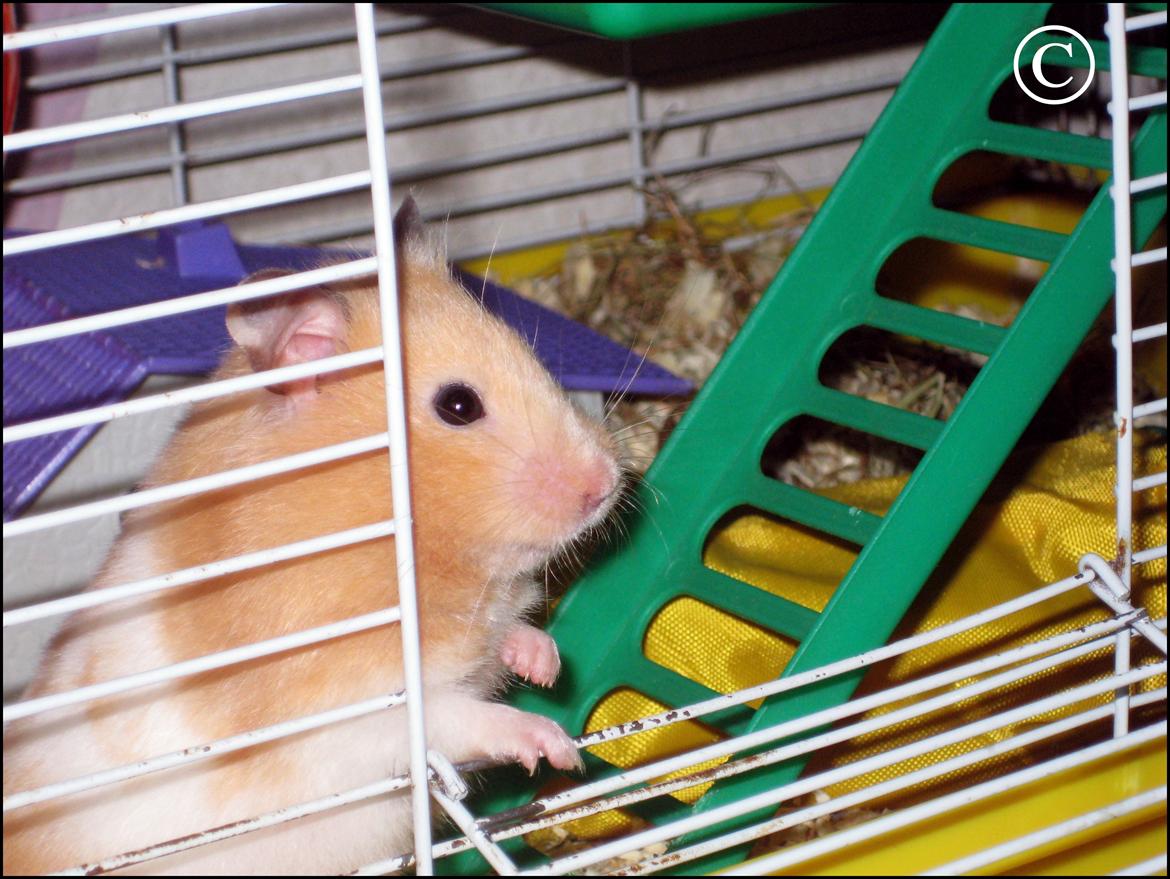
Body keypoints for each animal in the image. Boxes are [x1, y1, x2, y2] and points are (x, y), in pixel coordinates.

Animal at [3, 198, 622, 875]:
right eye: (458, 405)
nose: (608, 483)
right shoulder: (354, 710)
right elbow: (459, 718)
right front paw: (557, 748)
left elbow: (509, 642)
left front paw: (545, 666)